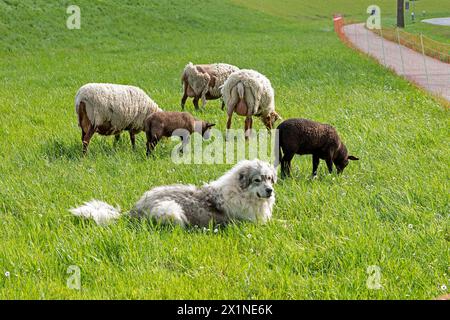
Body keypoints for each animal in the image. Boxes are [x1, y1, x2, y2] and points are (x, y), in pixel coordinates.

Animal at [70, 160, 276, 228]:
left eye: (269, 178)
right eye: (257, 180)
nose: (270, 190)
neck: (242, 193)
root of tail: (133, 210)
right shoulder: (252, 223)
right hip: (172, 210)